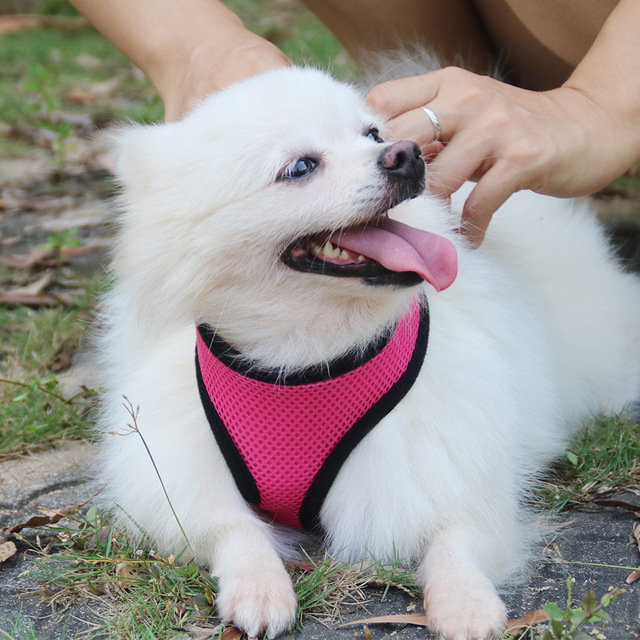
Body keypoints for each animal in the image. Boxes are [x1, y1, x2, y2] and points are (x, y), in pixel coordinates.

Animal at [99, 67, 640, 636]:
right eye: (300, 167)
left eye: (373, 134)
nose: (406, 153)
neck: (304, 358)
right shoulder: (175, 472)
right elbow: (233, 528)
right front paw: (259, 587)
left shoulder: (447, 463)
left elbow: (455, 538)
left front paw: (466, 601)